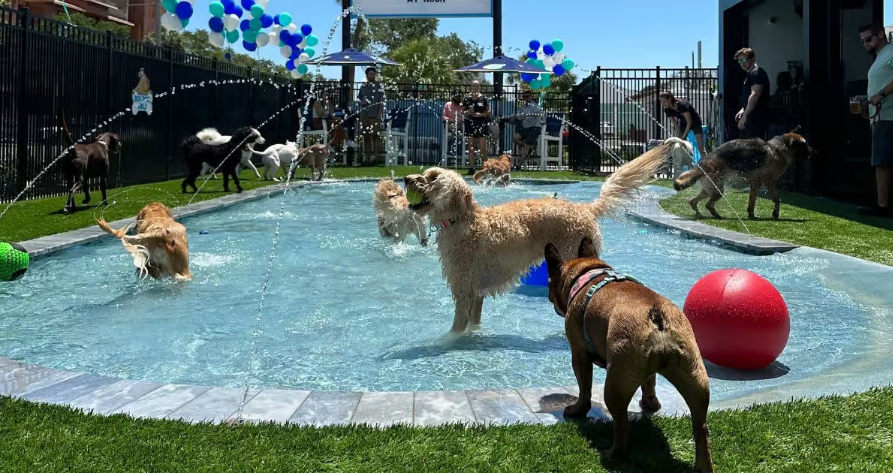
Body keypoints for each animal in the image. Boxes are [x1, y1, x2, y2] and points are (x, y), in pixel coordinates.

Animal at [402, 144, 668, 332]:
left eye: (433, 177)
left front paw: (448, 341)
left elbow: (457, 327)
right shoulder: (476, 294)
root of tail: (585, 209)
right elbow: (473, 325)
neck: (462, 218)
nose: (405, 179)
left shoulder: (464, 289)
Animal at [544, 238, 712, 470]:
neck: (588, 274)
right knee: (700, 427)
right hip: (694, 375)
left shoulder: (579, 355)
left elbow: (584, 389)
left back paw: (612, 454)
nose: (548, 293)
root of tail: (657, 317)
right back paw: (703, 465)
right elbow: (649, 382)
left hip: (616, 382)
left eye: (549, 282)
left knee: (622, 424)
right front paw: (650, 403)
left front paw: (577, 411)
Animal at [672, 128, 812, 218]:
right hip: (718, 189)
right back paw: (716, 215)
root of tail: (701, 165)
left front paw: (751, 214)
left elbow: (752, 201)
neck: (779, 149)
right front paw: (775, 213)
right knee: (708, 204)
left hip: (710, 188)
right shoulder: (767, 180)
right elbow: (777, 198)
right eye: (804, 145)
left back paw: (700, 213)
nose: (813, 153)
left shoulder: (755, 183)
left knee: (693, 201)